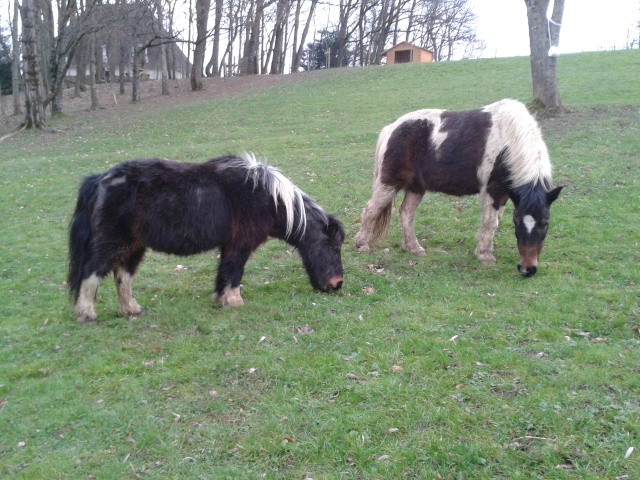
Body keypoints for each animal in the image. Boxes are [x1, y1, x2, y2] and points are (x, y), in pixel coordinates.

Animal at [69, 154, 344, 326]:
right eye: (334, 247)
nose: (337, 284)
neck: (269, 197)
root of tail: (100, 179)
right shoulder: (240, 245)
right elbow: (234, 272)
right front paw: (234, 301)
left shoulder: (230, 245)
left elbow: (224, 272)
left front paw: (220, 299)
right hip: (112, 243)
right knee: (91, 273)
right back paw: (86, 314)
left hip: (134, 246)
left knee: (122, 275)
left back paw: (131, 310)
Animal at [356, 99, 560, 276]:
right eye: (517, 223)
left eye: (545, 223)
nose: (527, 269)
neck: (509, 140)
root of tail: (392, 127)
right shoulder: (493, 191)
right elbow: (490, 222)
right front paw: (485, 255)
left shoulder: (504, 194)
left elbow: (495, 221)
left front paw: (485, 250)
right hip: (389, 183)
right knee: (371, 210)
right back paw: (362, 244)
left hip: (416, 187)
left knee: (406, 214)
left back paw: (414, 248)